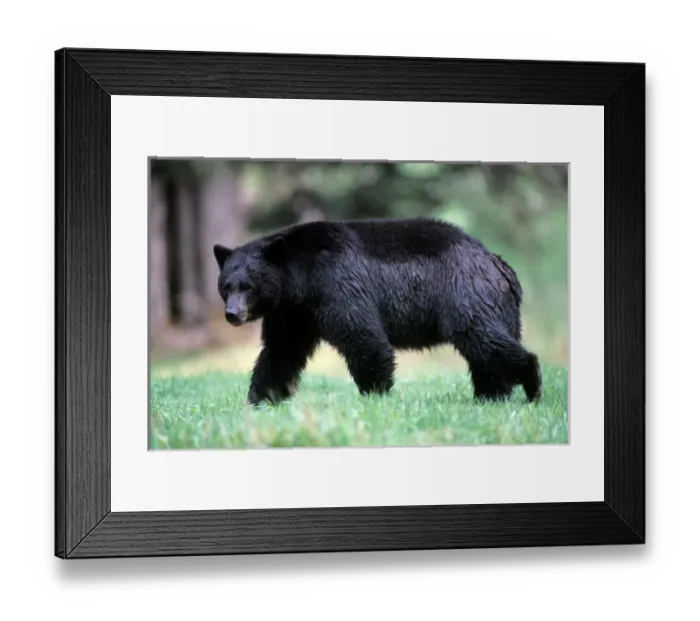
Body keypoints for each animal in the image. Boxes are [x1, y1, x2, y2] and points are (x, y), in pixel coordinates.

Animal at [213, 217, 542, 407]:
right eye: (227, 286)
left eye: (248, 286)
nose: (232, 314)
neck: (302, 277)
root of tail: (499, 264)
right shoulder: (293, 311)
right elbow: (281, 351)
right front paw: (258, 399)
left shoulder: (337, 284)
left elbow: (362, 336)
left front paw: (375, 394)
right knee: (485, 351)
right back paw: (491, 396)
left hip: (465, 294)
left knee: (483, 338)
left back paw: (531, 385)